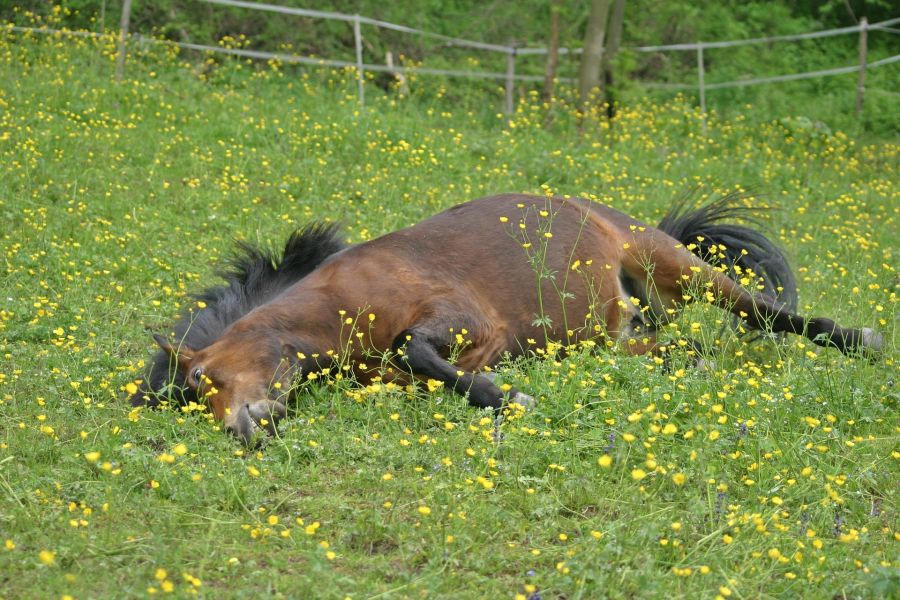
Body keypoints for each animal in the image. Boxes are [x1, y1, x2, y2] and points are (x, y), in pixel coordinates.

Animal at [137, 195, 884, 442]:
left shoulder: (462, 319)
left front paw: (508, 398)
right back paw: (691, 364)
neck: (339, 295)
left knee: (768, 314)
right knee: (671, 345)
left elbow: (416, 349)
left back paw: (862, 341)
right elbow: (423, 370)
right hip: (612, 337)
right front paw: (498, 394)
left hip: (674, 263)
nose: (244, 430)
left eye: (202, 380)